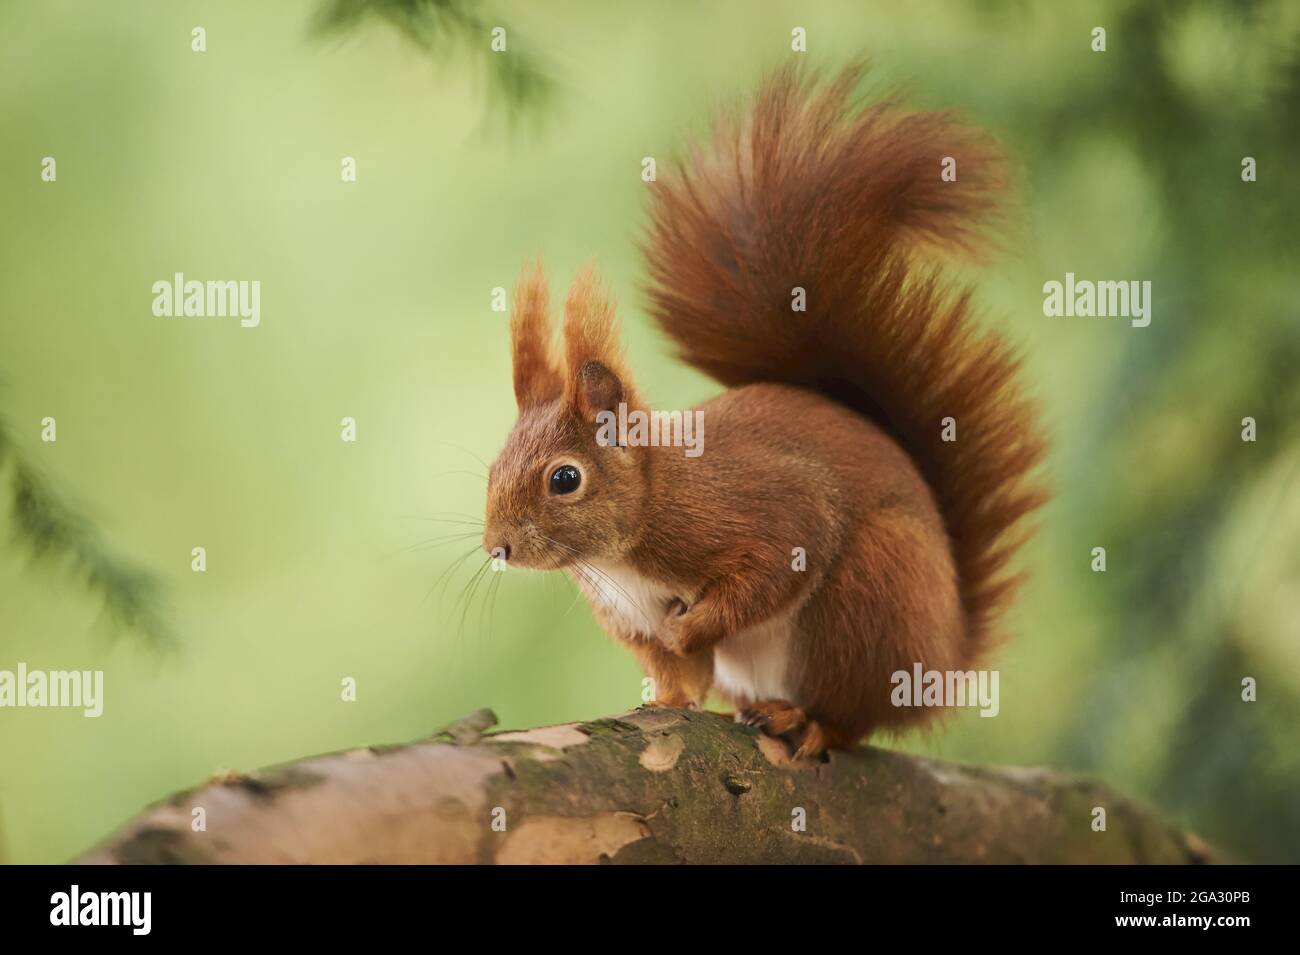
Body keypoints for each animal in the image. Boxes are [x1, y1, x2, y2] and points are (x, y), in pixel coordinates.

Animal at [483, 63, 1040, 758]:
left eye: (564, 478)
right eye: (491, 468)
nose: (497, 549)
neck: (628, 543)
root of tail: (946, 662)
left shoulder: (764, 512)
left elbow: (770, 570)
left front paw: (689, 629)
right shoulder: (628, 613)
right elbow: (678, 672)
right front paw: (666, 698)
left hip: (870, 596)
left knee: (852, 714)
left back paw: (805, 719)